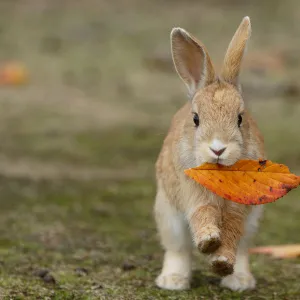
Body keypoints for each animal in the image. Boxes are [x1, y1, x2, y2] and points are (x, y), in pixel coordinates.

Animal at [155, 15, 264, 290]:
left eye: (240, 118)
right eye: (196, 119)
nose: (218, 148)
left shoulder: (240, 208)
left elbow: (233, 230)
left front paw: (222, 261)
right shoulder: (192, 192)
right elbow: (202, 213)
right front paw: (208, 241)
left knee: (243, 249)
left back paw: (240, 281)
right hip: (168, 216)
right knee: (178, 250)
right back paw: (173, 281)